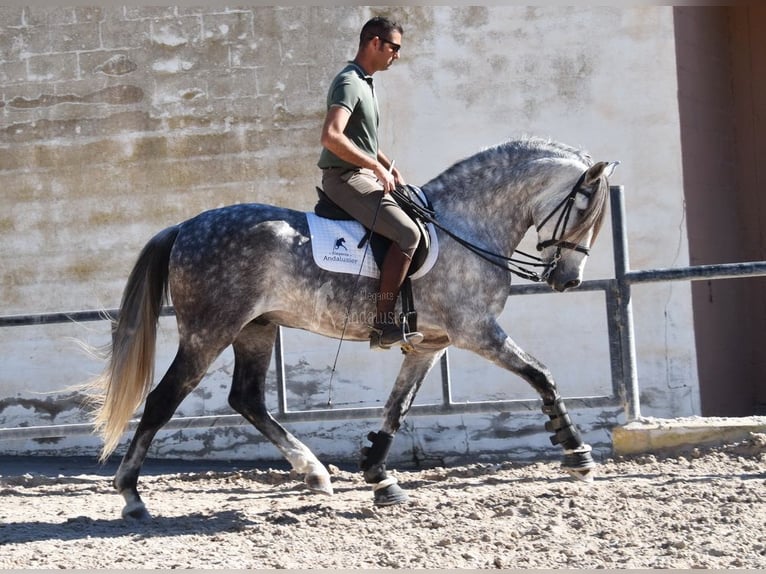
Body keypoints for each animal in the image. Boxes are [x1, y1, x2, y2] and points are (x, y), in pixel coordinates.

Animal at [88, 137, 616, 520]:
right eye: (583, 210)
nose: (568, 280)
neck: (468, 225)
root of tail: (184, 227)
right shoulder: (476, 330)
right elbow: (542, 375)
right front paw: (577, 454)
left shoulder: (430, 344)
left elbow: (396, 409)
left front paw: (380, 478)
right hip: (209, 331)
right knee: (163, 400)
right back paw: (132, 497)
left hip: (255, 329)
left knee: (248, 398)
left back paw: (314, 473)